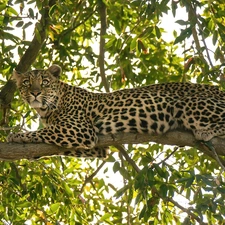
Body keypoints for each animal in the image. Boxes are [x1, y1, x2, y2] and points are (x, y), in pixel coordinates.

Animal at [7, 64, 225, 157]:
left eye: (44, 82)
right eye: (26, 83)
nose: (35, 93)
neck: (47, 110)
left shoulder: (80, 130)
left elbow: (42, 132)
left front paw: (15, 136)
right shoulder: (96, 148)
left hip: (187, 103)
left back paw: (205, 131)